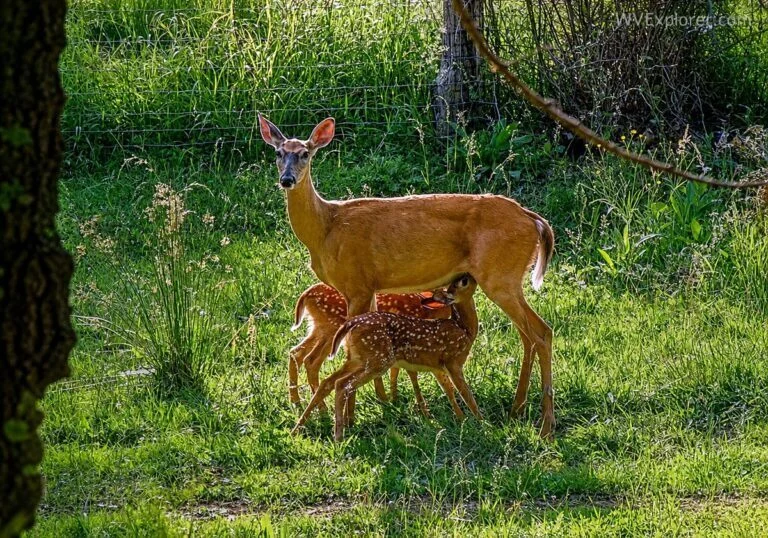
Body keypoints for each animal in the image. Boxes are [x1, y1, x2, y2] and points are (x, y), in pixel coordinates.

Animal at [292, 274, 481, 441]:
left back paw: (304, 417)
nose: (468, 276)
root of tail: (306, 294)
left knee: (304, 359)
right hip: (338, 335)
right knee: (317, 365)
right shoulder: (440, 358)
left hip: (338, 343)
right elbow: (455, 388)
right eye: (462, 282)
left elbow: (439, 384)